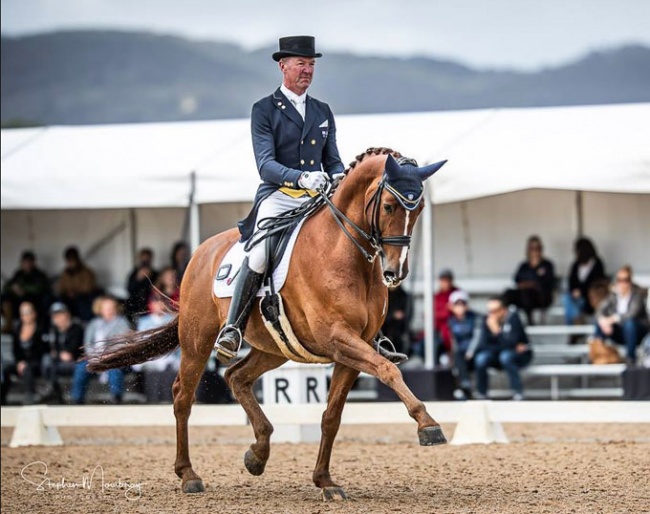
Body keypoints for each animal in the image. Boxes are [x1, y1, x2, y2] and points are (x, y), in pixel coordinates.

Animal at [87, 146, 446, 498]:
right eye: (388, 206)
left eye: (419, 208)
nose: (395, 272)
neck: (345, 254)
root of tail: (202, 251)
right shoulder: (338, 338)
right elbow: (388, 370)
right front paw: (428, 425)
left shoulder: (353, 349)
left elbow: (332, 415)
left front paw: (325, 481)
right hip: (197, 340)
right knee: (183, 396)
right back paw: (189, 475)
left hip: (275, 348)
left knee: (236, 377)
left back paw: (257, 454)